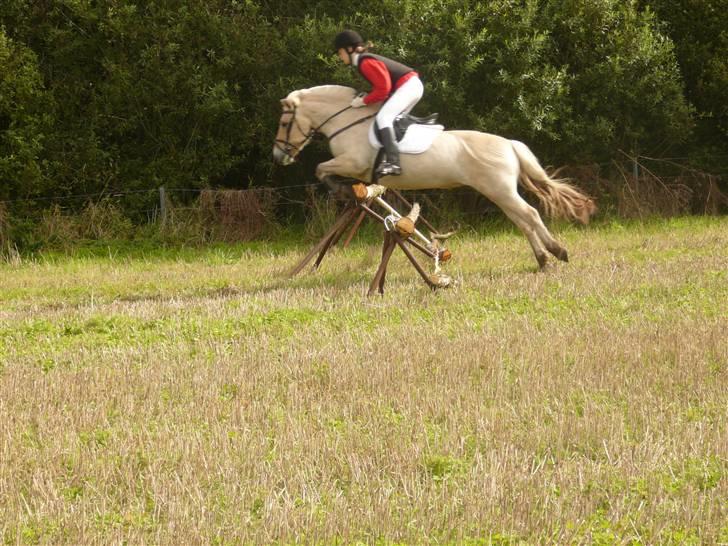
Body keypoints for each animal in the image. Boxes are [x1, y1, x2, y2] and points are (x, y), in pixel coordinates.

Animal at [270, 84, 596, 268]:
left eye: (285, 123)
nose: (278, 156)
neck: (347, 121)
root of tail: (509, 144)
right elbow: (326, 171)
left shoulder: (351, 162)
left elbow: (321, 169)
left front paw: (339, 190)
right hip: (499, 192)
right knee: (523, 220)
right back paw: (543, 258)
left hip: (500, 190)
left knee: (530, 215)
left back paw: (556, 251)